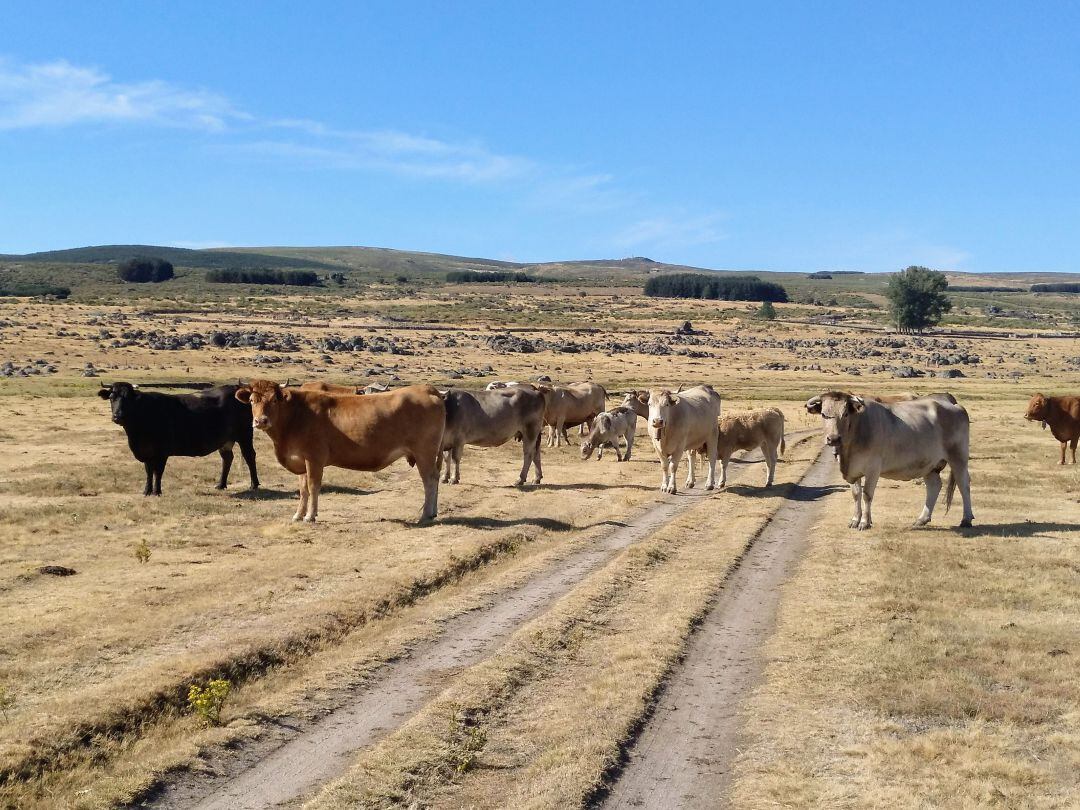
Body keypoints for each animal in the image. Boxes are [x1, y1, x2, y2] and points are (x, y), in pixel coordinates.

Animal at [97, 384, 261, 498]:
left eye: (128, 400)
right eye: (112, 398)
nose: (117, 416)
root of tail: (237, 388)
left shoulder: (162, 452)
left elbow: (158, 472)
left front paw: (157, 491)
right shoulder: (146, 452)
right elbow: (148, 471)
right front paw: (146, 491)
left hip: (245, 435)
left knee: (249, 456)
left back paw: (254, 484)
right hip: (226, 440)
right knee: (227, 458)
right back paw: (221, 485)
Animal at [235, 382, 442, 522]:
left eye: (274, 400)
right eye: (252, 401)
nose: (260, 421)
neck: (296, 415)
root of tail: (426, 389)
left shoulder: (314, 458)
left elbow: (313, 486)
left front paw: (310, 516)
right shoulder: (301, 460)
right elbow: (302, 489)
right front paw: (298, 514)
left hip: (424, 453)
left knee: (429, 480)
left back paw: (426, 514)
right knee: (435, 478)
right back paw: (432, 511)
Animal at [807, 393, 976, 533]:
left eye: (845, 414)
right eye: (824, 414)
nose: (833, 438)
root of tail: (950, 402)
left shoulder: (873, 468)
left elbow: (867, 495)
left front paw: (865, 522)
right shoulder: (854, 471)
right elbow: (856, 494)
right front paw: (855, 520)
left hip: (958, 457)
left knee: (963, 484)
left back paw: (966, 519)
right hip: (929, 464)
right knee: (934, 486)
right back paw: (921, 519)